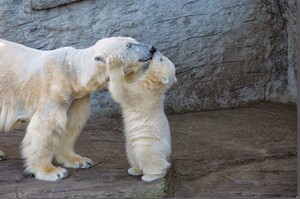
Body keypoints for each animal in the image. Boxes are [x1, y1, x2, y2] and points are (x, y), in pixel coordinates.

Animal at [0, 36, 157, 181]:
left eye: (134, 40)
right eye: (129, 45)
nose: (152, 48)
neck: (72, 73)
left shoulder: (76, 97)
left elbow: (70, 124)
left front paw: (79, 160)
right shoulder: (53, 90)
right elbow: (46, 127)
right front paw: (52, 171)